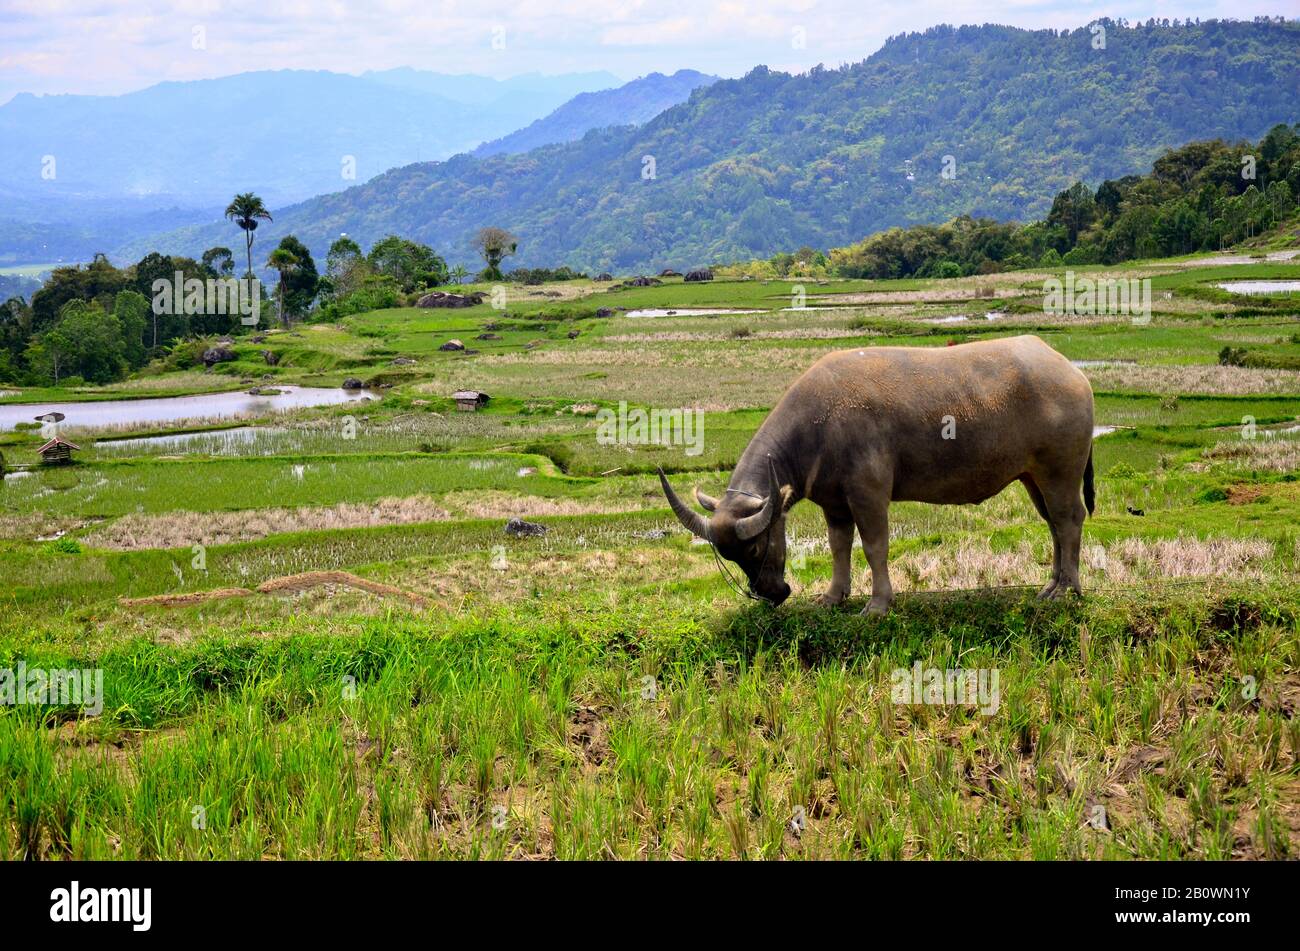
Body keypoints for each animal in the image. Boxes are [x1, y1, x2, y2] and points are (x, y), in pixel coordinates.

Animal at [660, 335, 1097, 615]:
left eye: (753, 549)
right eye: (729, 556)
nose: (771, 594)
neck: (818, 425)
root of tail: (1073, 374)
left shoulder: (868, 494)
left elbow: (874, 547)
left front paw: (877, 604)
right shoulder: (834, 504)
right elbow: (838, 547)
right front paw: (833, 597)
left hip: (1060, 470)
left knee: (1068, 519)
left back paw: (1067, 589)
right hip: (1033, 476)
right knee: (1052, 523)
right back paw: (1050, 584)